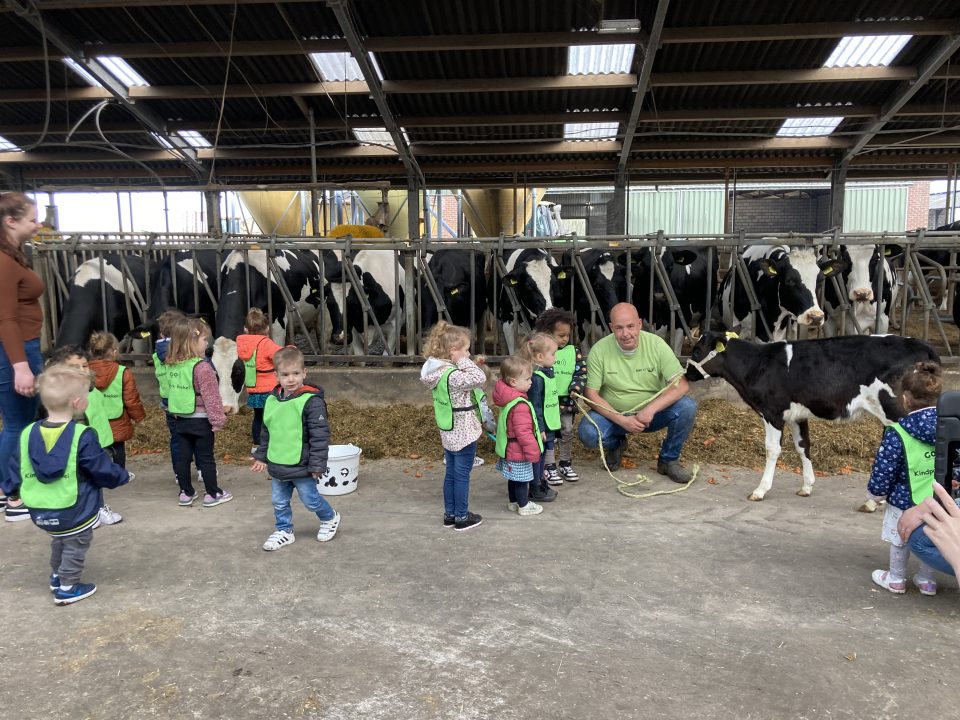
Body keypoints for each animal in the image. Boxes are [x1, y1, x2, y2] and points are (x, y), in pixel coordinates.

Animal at [688, 332, 940, 500]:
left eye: (697, 351)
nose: (688, 373)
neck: (757, 365)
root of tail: (919, 342)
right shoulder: (796, 415)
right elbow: (803, 446)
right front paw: (807, 485)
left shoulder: (772, 411)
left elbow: (772, 449)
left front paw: (760, 489)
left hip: (896, 407)